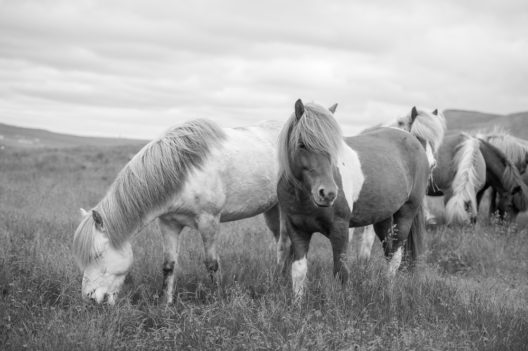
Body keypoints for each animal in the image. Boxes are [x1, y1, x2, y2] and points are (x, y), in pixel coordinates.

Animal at [72, 119, 284, 306]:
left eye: (97, 255)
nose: (89, 299)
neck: (184, 172)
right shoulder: (169, 223)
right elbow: (169, 265)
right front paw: (166, 303)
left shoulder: (209, 221)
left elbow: (212, 264)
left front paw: (217, 299)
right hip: (273, 209)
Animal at [276, 100, 428, 298]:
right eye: (301, 144)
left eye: (333, 148)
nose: (328, 193)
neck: (305, 198)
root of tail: (412, 139)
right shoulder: (297, 230)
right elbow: (299, 271)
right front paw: (297, 303)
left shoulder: (340, 229)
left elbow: (341, 272)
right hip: (383, 218)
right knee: (388, 252)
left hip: (406, 213)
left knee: (395, 256)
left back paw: (389, 292)